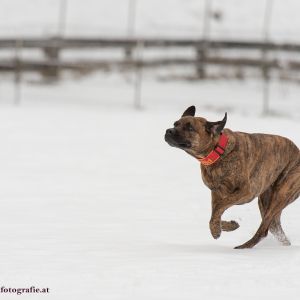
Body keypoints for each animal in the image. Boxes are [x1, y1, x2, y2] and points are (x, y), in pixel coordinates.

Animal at [164, 105, 300, 248]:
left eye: (190, 128)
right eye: (175, 124)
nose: (169, 131)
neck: (218, 152)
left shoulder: (246, 192)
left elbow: (220, 207)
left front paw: (216, 229)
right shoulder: (216, 193)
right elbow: (215, 212)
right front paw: (226, 225)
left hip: (281, 193)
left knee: (264, 230)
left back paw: (244, 247)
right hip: (265, 200)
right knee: (274, 227)